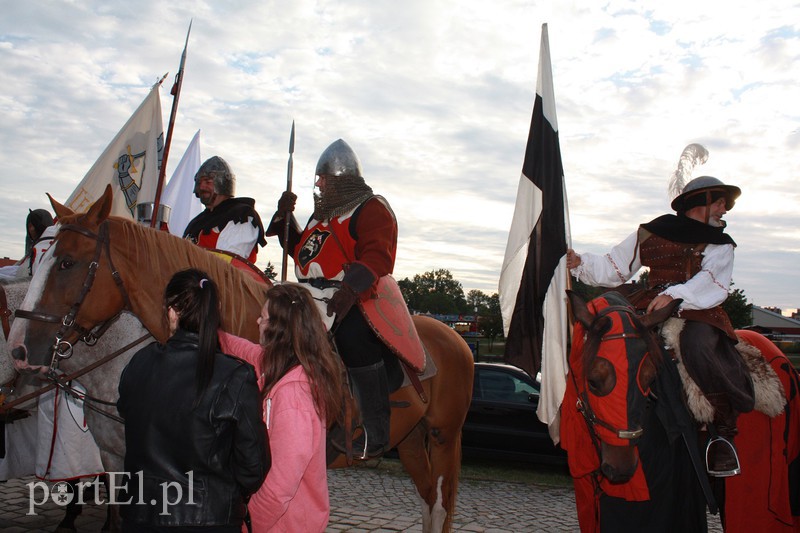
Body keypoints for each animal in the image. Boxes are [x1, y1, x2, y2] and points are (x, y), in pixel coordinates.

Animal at [4, 184, 476, 532]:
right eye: (36, 261)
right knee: (428, 502)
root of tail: (455, 337)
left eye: (67, 262)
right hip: (411, 438)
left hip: (443, 436)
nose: (20, 351)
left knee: (439, 506)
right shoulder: (122, 464)